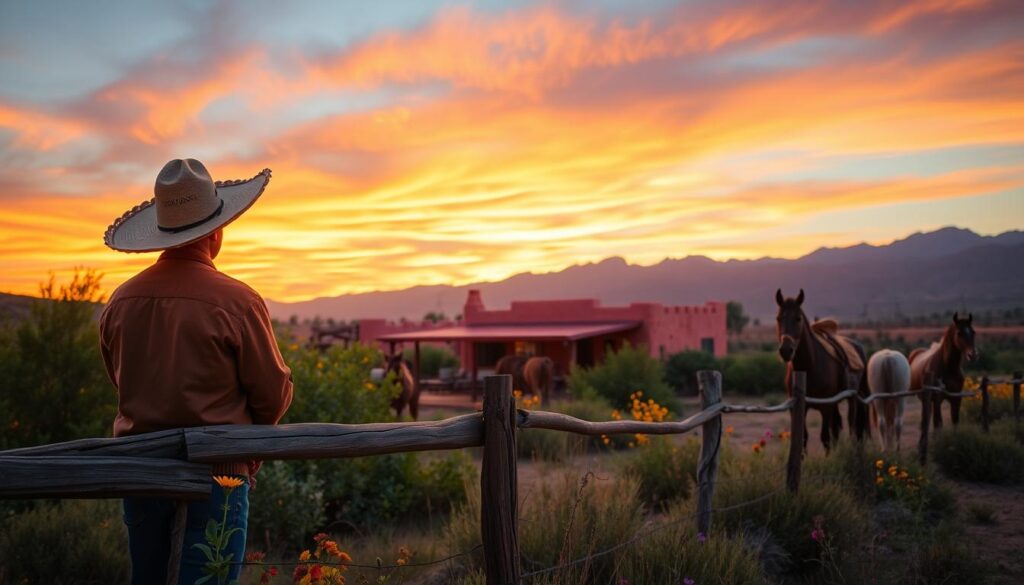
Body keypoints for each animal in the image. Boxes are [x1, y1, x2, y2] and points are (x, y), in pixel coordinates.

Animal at [778, 290, 868, 450]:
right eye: (778, 319)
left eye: (798, 318)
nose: (786, 350)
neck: (809, 367)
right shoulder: (797, 408)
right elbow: (803, 438)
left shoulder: (825, 407)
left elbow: (825, 437)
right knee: (839, 427)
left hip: (853, 398)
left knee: (853, 425)